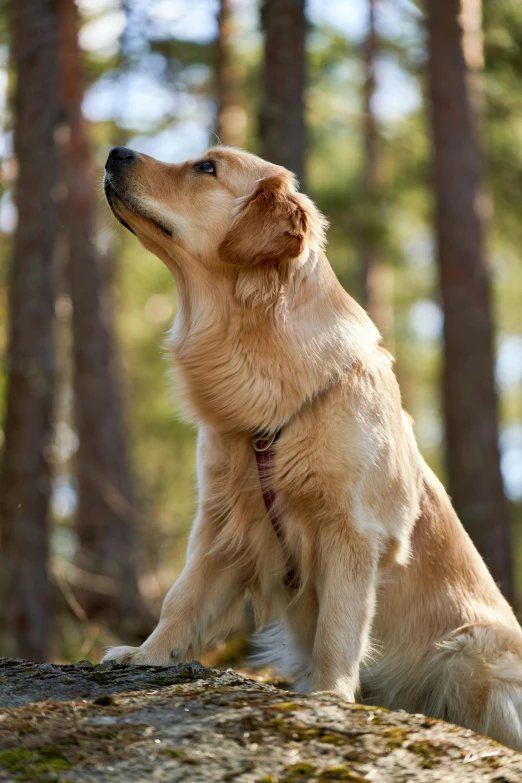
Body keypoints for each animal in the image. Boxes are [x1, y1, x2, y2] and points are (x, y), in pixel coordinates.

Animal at [101, 144, 520, 752]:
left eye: (206, 168)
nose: (115, 151)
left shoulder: (353, 530)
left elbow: (339, 626)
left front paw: (327, 697)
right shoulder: (223, 520)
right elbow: (181, 598)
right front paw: (147, 655)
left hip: (472, 653)